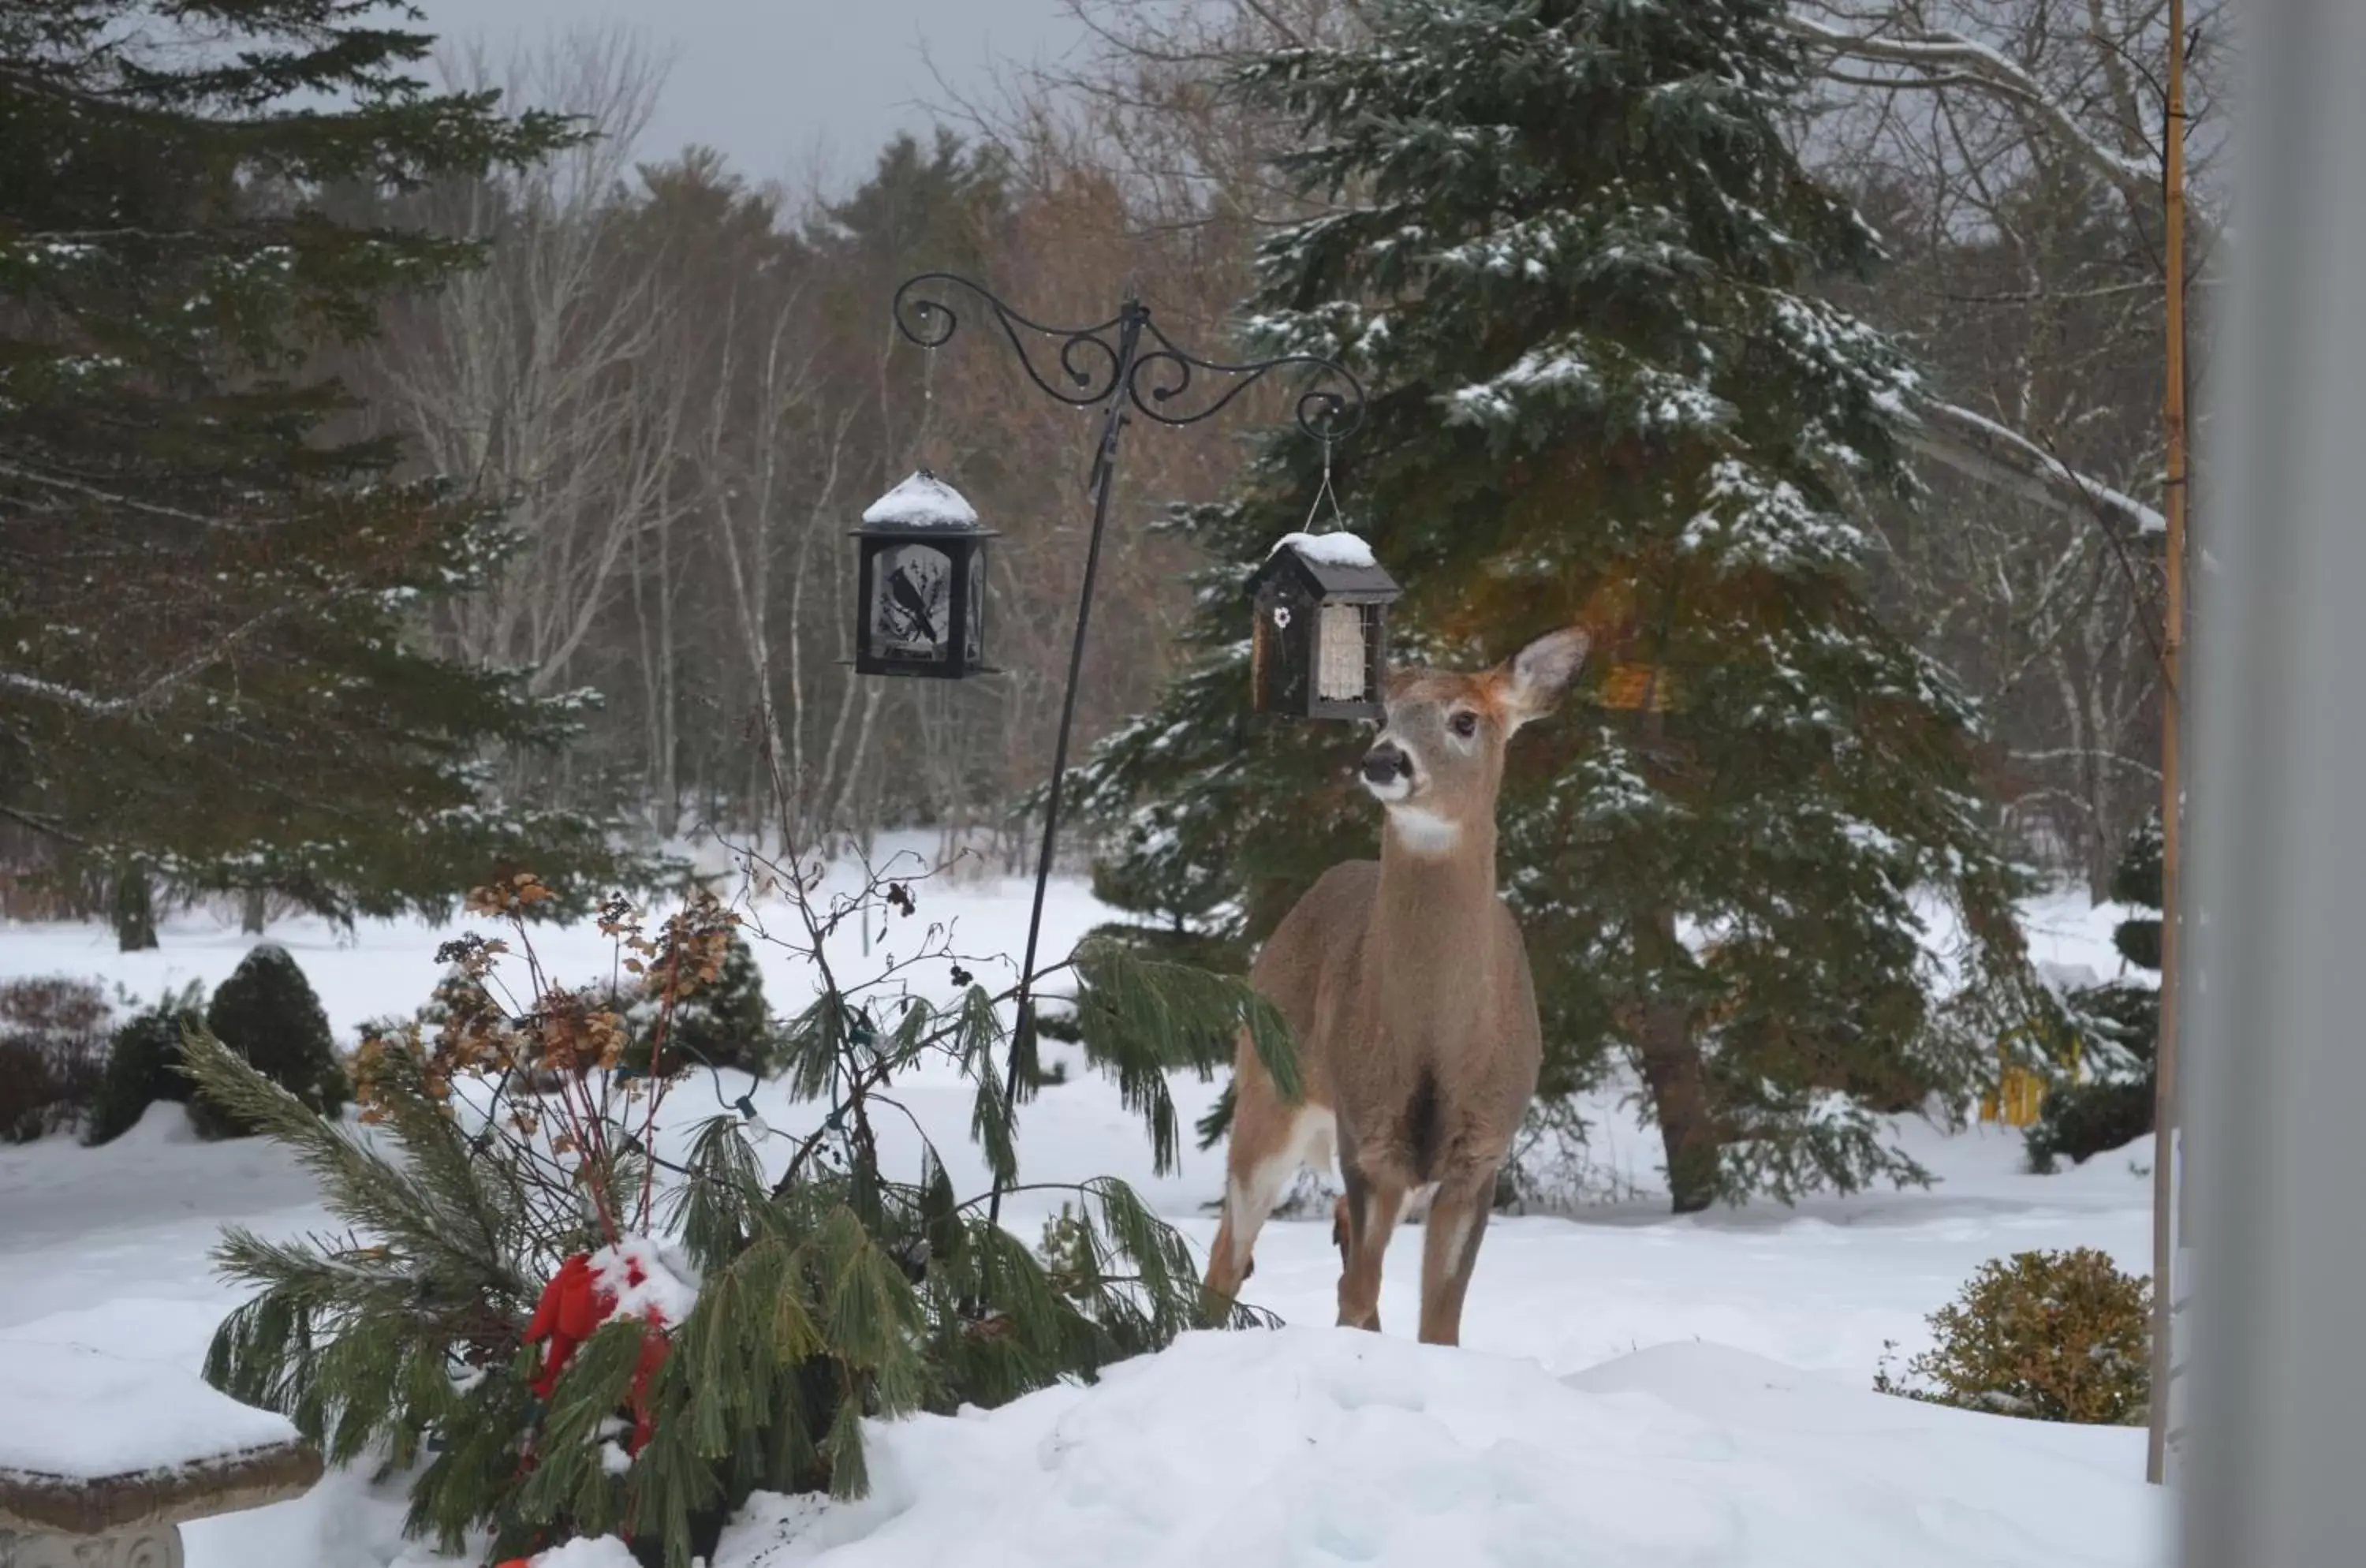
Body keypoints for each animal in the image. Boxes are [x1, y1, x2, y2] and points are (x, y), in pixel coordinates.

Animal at [1211, 629, 1580, 1353]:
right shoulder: (1369, 1139)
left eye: (1465, 720)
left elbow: (1439, 1324)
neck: (1439, 1046)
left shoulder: (1480, 1154)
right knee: (1230, 1252)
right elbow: (1360, 1296)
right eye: (1381, 714)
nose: (1384, 760)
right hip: (1268, 1093)